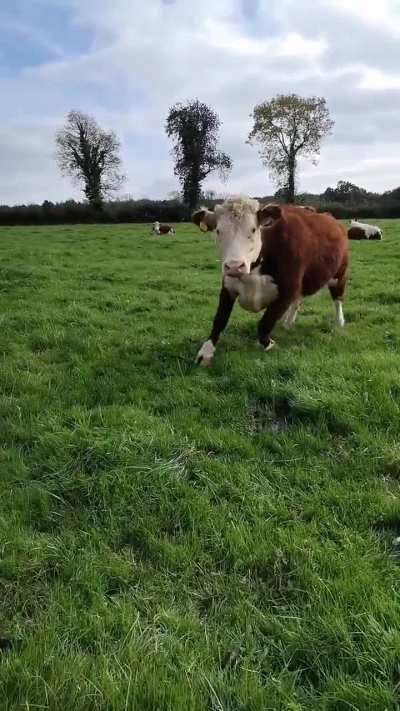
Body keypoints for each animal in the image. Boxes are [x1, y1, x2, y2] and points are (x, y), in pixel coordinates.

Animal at [192, 197, 348, 366]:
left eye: (253, 229)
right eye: (218, 231)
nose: (234, 266)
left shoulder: (288, 290)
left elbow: (264, 323)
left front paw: (270, 344)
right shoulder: (228, 286)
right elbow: (220, 320)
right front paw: (206, 352)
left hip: (339, 274)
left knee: (337, 298)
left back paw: (339, 321)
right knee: (297, 302)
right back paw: (287, 322)